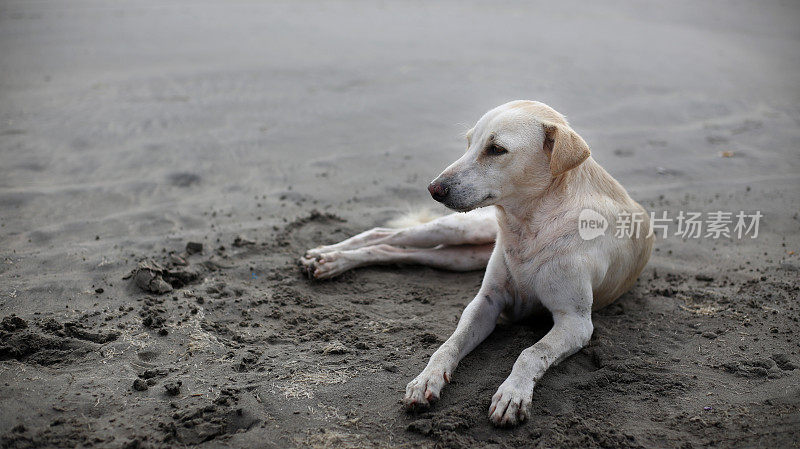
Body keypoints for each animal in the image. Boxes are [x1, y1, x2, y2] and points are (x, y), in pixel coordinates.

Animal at [300, 101, 648, 428]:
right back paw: (327, 256)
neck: (527, 225)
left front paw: (512, 394)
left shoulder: (575, 321)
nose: (433, 188)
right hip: (459, 229)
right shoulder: (486, 302)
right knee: (387, 233)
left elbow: (531, 353)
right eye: (469, 143)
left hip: (458, 258)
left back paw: (329, 260)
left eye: (496, 149)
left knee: (395, 249)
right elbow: (449, 345)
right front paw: (426, 380)